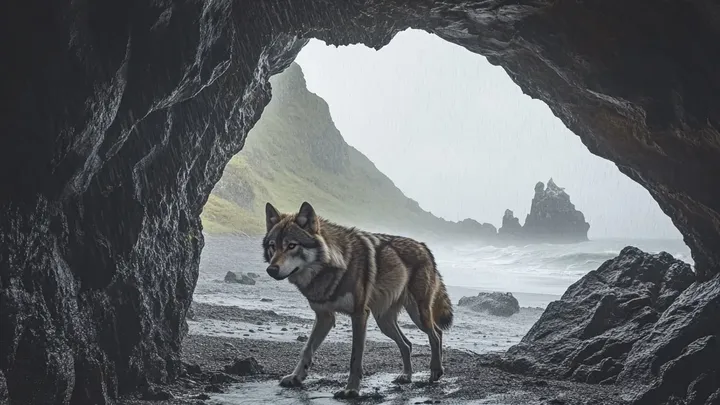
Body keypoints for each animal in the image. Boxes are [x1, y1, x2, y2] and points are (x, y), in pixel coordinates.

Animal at [262, 201, 454, 399]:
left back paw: (436, 371)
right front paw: (296, 377)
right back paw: (406, 376)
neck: (331, 268)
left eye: (292, 245)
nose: (271, 269)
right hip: (384, 323)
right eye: (272, 246)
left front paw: (351, 390)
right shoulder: (324, 317)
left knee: (436, 334)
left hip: (418, 315)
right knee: (408, 344)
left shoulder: (359, 315)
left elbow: (355, 358)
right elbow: (306, 349)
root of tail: (424, 247)